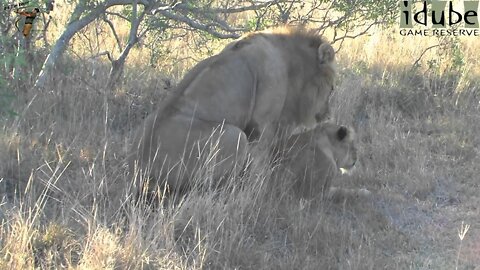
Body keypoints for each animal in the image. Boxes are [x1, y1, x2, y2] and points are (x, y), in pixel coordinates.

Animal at [129, 26, 336, 194]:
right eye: (332, 88)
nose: (328, 115)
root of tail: (140, 171)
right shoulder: (261, 126)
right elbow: (260, 167)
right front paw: (259, 193)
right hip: (235, 136)